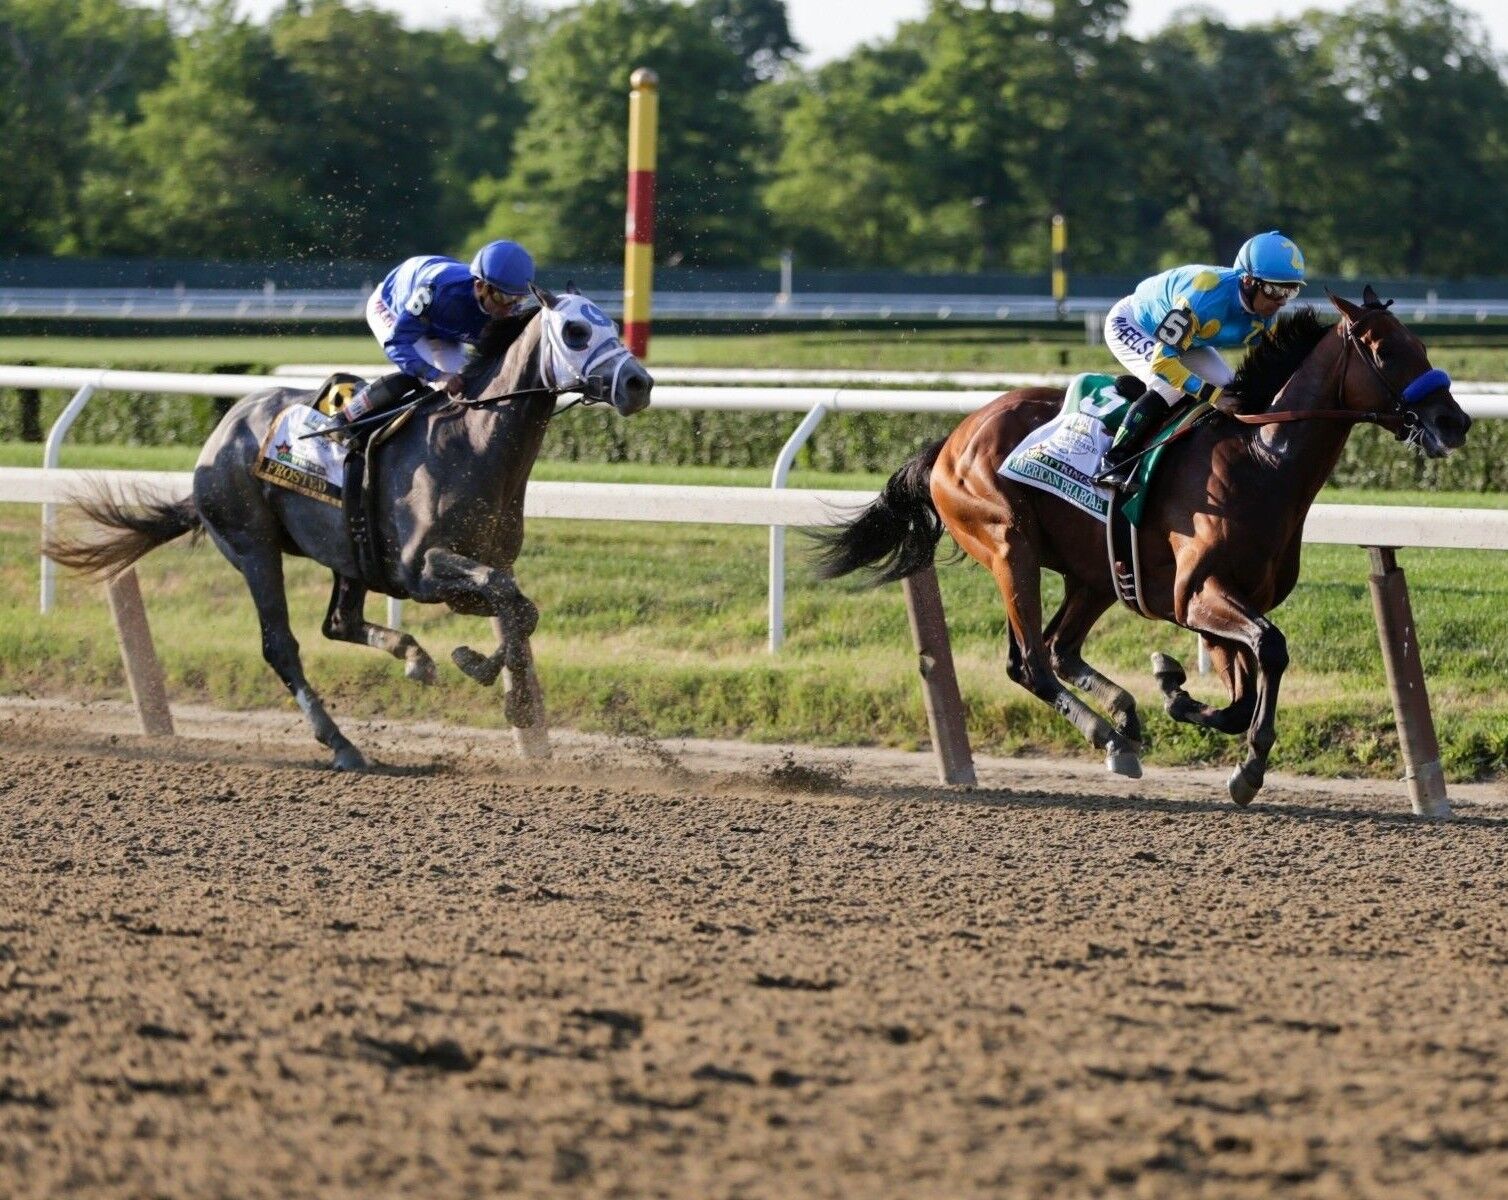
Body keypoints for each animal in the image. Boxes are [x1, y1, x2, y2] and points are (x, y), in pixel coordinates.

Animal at [50, 281, 651, 768]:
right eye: (575, 330)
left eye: (612, 323)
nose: (639, 383)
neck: (472, 441)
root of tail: (217, 437)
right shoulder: (422, 571)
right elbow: (508, 597)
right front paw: (481, 670)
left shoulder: (481, 567)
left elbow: (520, 608)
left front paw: (504, 693)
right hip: (253, 548)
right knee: (280, 645)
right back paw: (342, 744)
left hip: (347, 552)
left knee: (338, 622)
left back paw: (414, 658)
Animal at [814, 286, 1471, 802]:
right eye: (1386, 351)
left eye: (1422, 347)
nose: (1455, 422)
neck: (1260, 461)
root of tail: (951, 440)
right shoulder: (1196, 594)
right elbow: (1271, 647)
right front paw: (1244, 764)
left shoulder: (1221, 603)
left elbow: (1241, 693)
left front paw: (1176, 690)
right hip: (1008, 547)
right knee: (1029, 662)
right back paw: (1107, 733)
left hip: (1096, 573)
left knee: (1059, 649)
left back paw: (1123, 721)